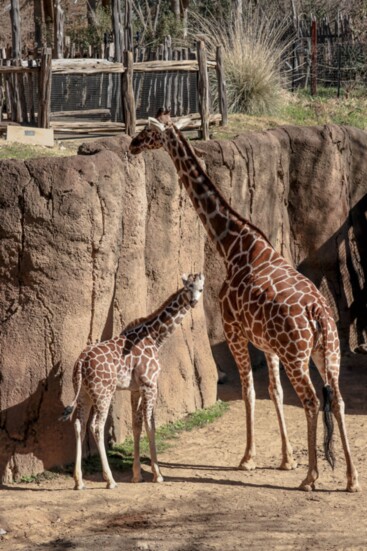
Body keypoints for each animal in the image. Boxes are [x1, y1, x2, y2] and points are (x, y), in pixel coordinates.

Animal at [61, 274, 206, 490]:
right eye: (188, 286)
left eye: (201, 288)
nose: (194, 302)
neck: (155, 337)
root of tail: (80, 362)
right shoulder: (150, 384)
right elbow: (150, 424)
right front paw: (157, 474)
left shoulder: (135, 389)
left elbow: (136, 425)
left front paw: (137, 475)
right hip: (103, 393)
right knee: (96, 426)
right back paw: (110, 480)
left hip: (83, 393)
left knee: (79, 424)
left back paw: (79, 481)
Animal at [130, 108, 362, 492]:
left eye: (148, 130)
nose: (132, 145)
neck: (234, 245)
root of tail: (318, 311)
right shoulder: (267, 343)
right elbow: (275, 391)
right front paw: (285, 459)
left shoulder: (234, 330)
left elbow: (250, 391)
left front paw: (248, 458)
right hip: (327, 351)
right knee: (339, 400)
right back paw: (351, 478)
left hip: (297, 355)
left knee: (313, 400)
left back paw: (311, 477)